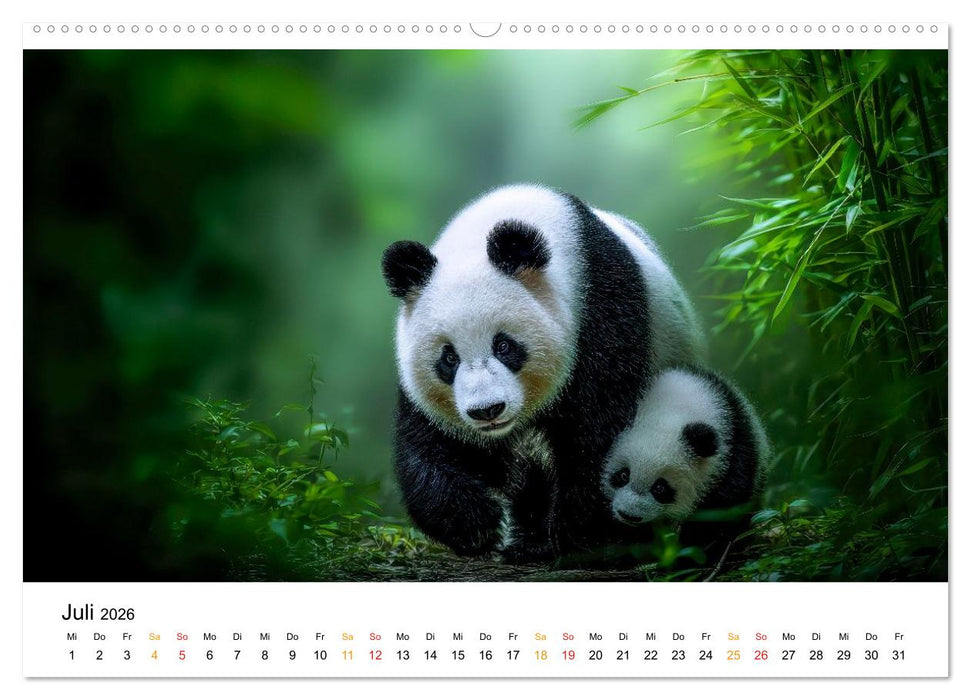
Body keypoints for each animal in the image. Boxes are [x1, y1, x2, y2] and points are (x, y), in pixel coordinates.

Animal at [381, 184, 705, 558]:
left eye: (503, 346)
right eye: (449, 358)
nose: (487, 410)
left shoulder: (602, 311)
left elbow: (599, 431)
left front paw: (584, 535)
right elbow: (432, 440)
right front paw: (476, 525)